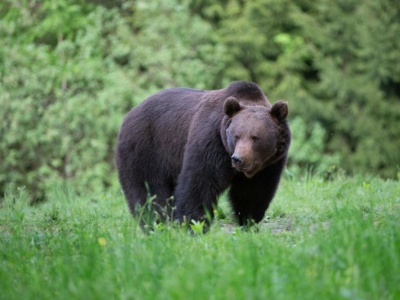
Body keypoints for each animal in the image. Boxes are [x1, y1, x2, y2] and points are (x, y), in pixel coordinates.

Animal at [115, 81, 290, 226]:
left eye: (255, 137)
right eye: (236, 136)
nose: (238, 159)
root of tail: (129, 114)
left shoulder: (268, 165)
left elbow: (253, 192)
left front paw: (249, 220)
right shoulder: (211, 141)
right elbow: (200, 182)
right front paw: (193, 222)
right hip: (145, 149)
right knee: (149, 189)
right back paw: (155, 221)